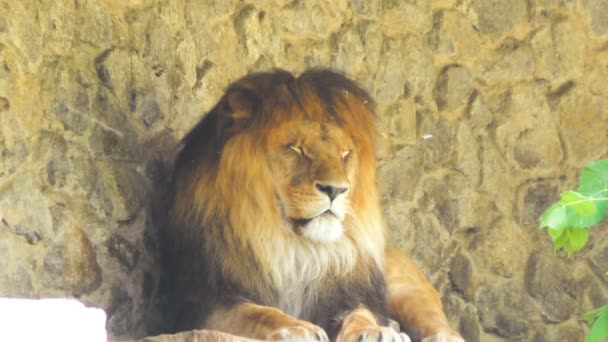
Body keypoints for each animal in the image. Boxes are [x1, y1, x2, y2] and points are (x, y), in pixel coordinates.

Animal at [164, 69, 464, 342]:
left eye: (345, 153)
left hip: (405, 285)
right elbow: (257, 312)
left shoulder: (347, 294)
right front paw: (298, 328)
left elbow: (361, 314)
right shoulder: (204, 300)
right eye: (296, 149)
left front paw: (374, 331)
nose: (337, 189)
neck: (295, 248)